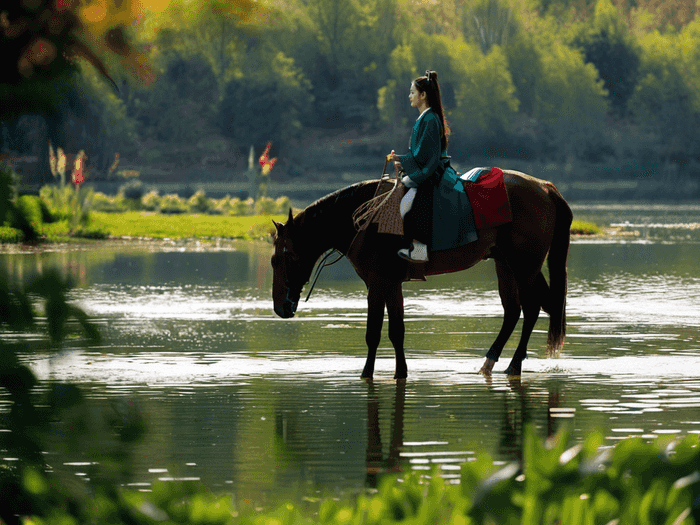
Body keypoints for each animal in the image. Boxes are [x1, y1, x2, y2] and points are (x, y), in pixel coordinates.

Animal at [270, 170, 572, 378]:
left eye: (281, 258)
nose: (281, 307)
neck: (365, 219)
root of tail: (545, 188)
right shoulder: (391, 284)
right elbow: (397, 331)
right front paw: (400, 372)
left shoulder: (377, 284)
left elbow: (374, 333)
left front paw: (367, 374)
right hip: (508, 265)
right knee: (516, 311)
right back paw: (490, 362)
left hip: (524, 266)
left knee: (531, 308)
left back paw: (513, 364)